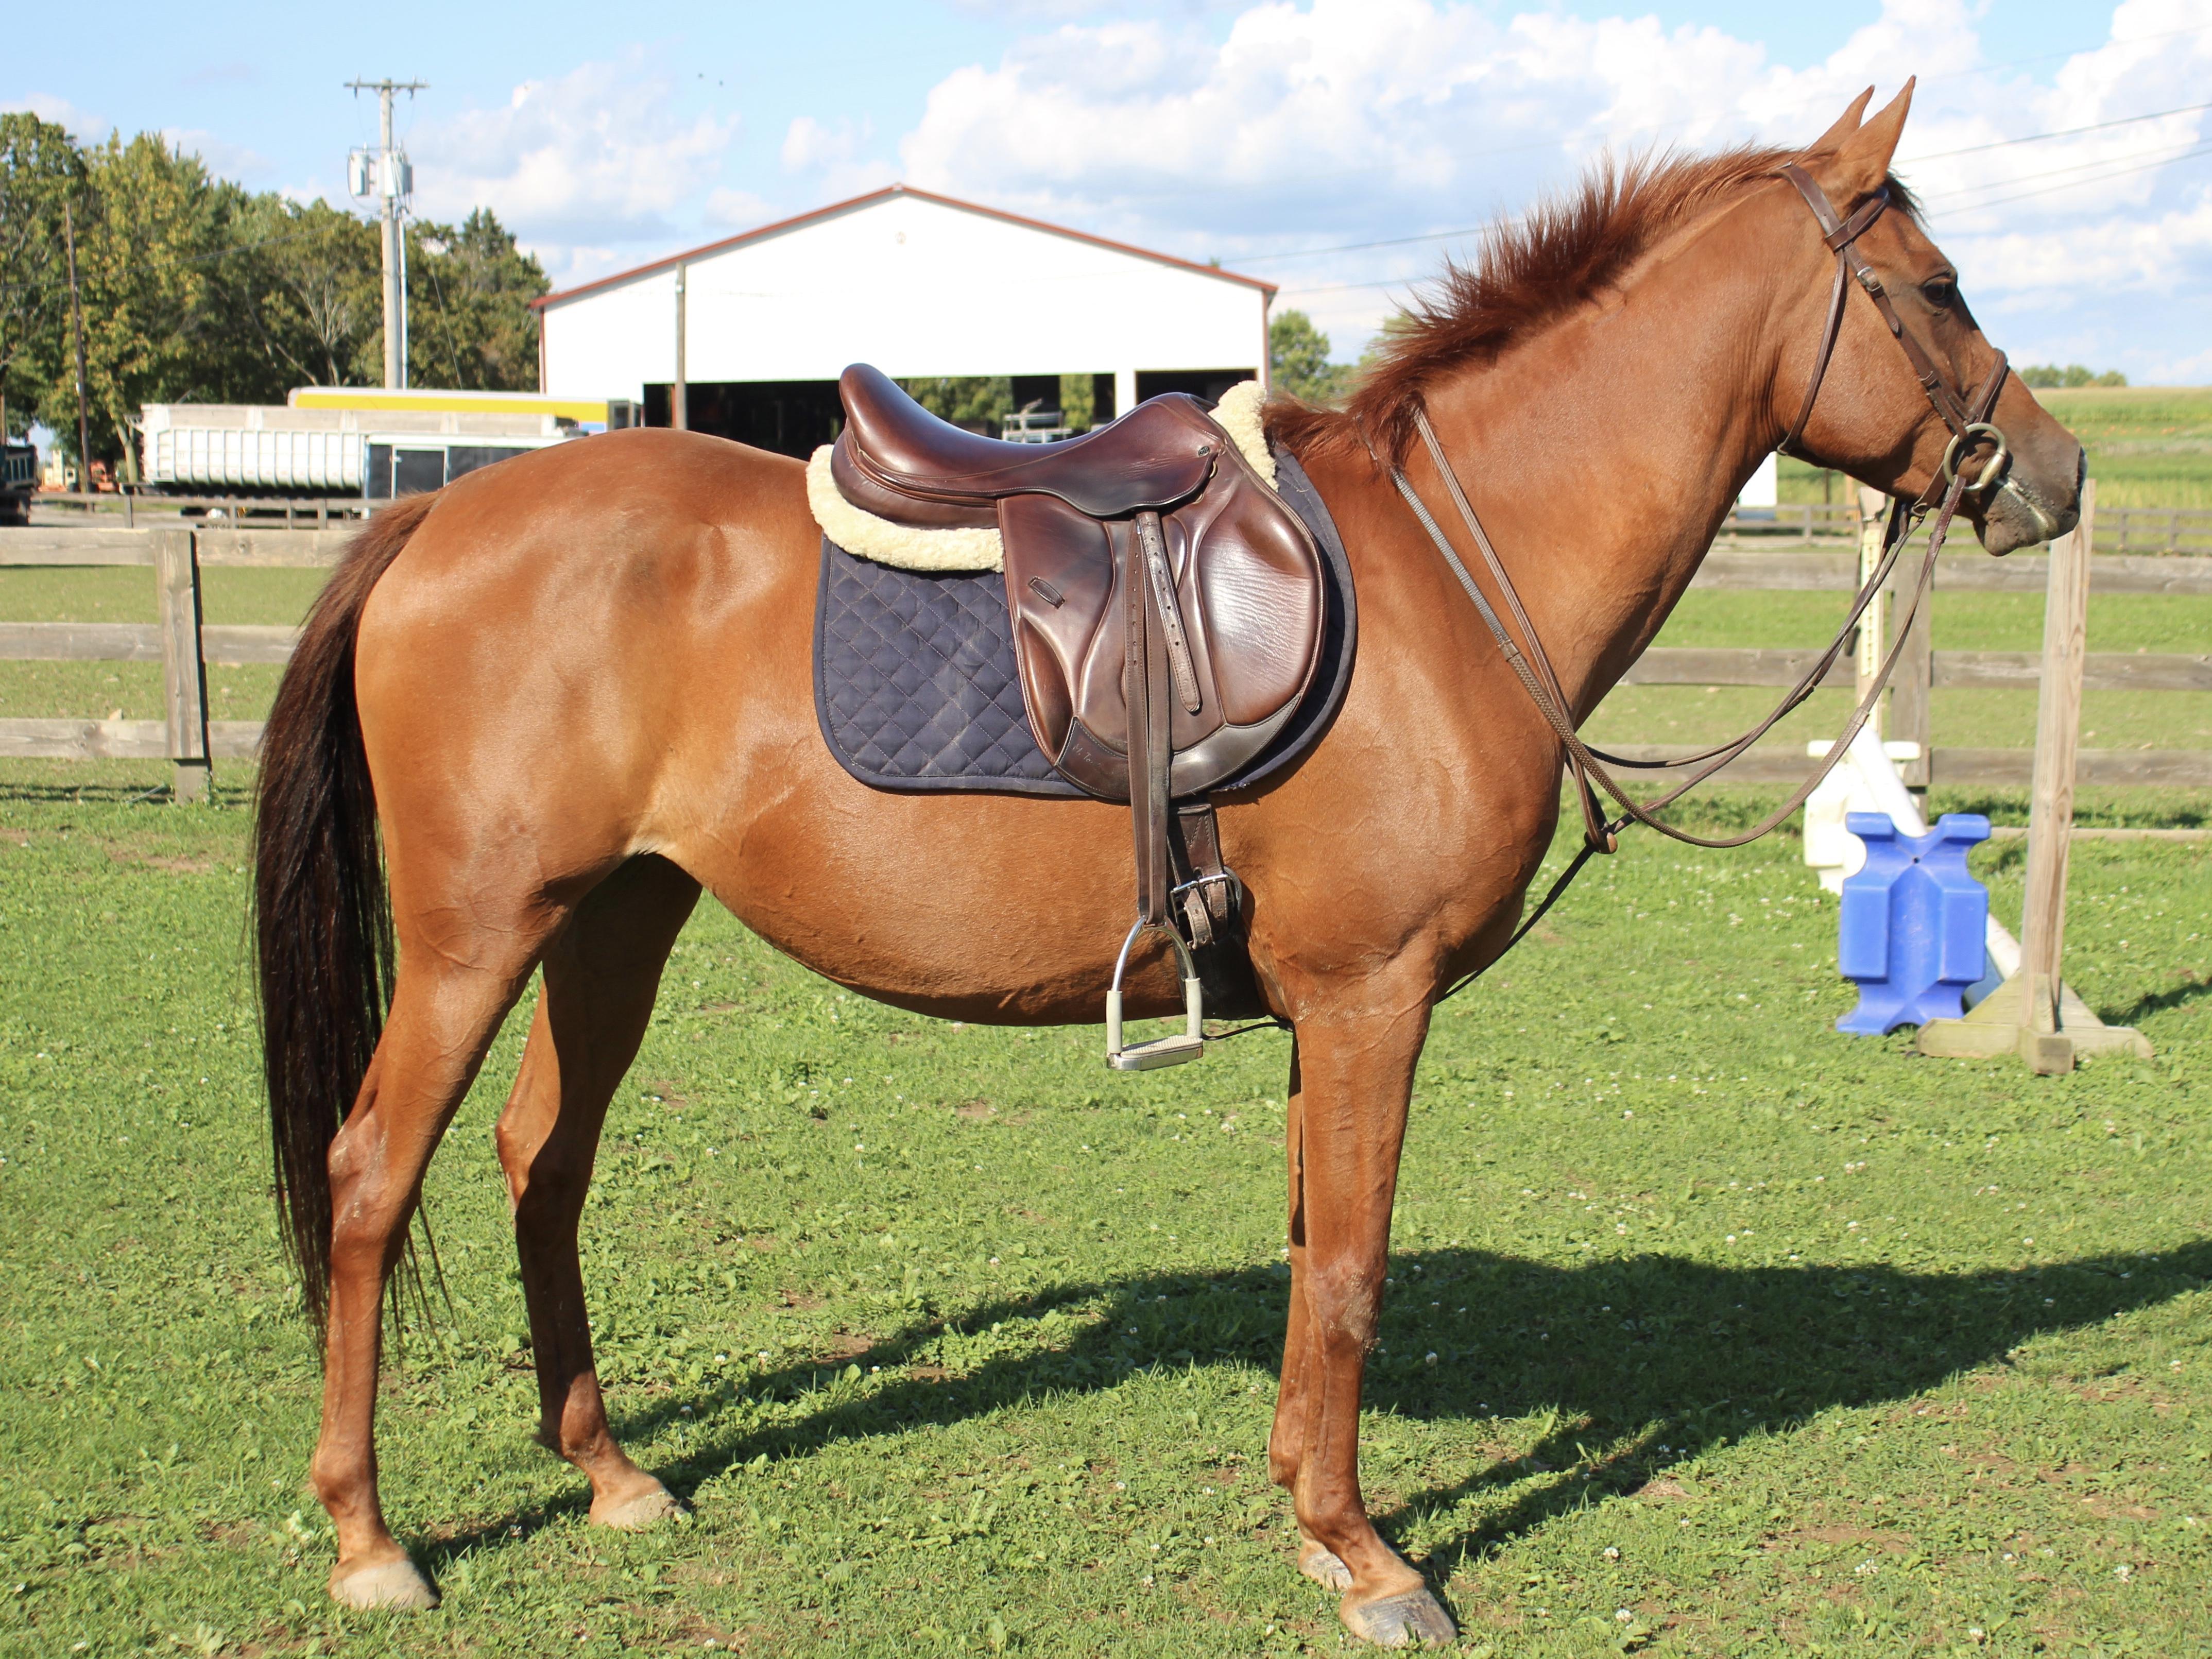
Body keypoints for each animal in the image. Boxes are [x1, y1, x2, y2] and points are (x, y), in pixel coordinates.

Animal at [254, 83, 2081, 1645]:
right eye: (1933, 286)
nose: (2053, 472)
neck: (1447, 566)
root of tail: (440, 516)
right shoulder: (1370, 998)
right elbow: (1348, 1268)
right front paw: (1364, 1555)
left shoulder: (1324, 1010)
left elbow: (1311, 1252)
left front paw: (1305, 1510)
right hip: (479, 934)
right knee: (371, 1173)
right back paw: (367, 1535)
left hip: (613, 915)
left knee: (542, 1158)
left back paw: (610, 1469)